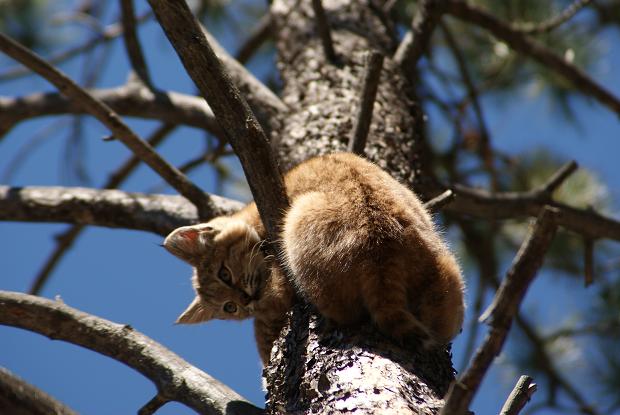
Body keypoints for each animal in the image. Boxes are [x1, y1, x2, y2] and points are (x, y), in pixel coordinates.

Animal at [165, 153, 464, 364]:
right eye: (229, 308)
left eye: (224, 274)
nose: (245, 301)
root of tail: (382, 243)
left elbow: (265, 322)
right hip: (446, 269)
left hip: (297, 221)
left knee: (345, 313)